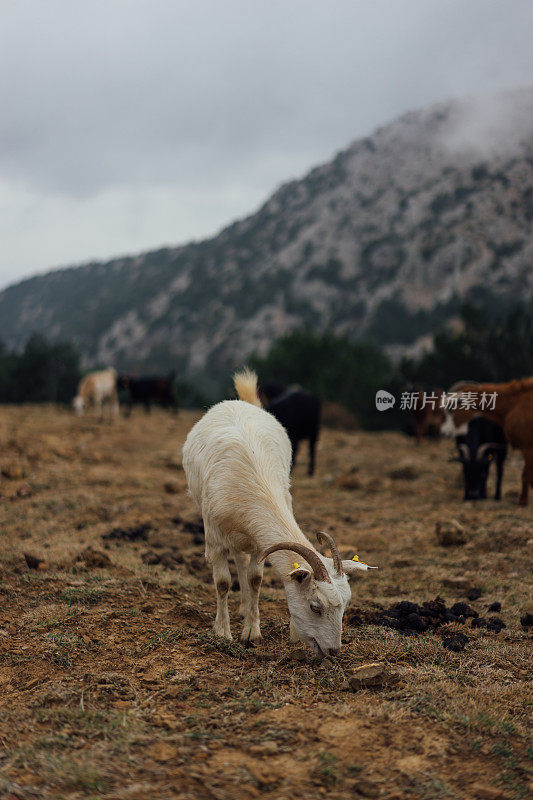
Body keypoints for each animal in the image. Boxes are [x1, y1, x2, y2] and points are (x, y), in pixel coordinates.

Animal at [181, 368, 376, 656]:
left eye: (345, 606)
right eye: (315, 607)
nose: (333, 651)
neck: (252, 483)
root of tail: (242, 402)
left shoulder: (259, 541)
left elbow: (255, 578)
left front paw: (252, 633)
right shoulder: (214, 537)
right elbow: (223, 583)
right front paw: (223, 633)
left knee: (241, 561)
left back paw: (244, 608)